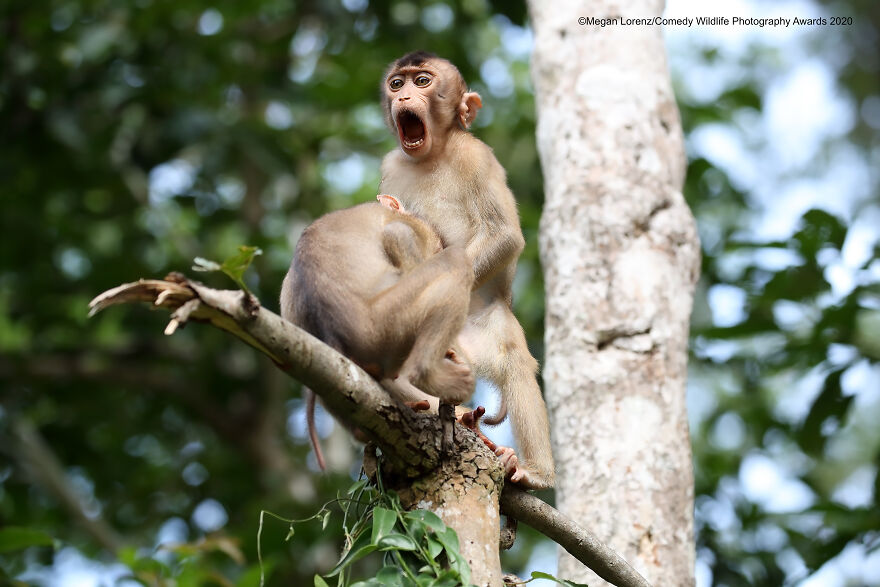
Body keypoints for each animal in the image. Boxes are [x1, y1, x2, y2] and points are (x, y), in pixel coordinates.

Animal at [280, 195, 477, 468]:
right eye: (436, 246)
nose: (434, 251)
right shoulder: (410, 232)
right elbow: (398, 235)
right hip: (386, 324)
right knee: (455, 260)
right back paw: (430, 375)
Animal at [377, 51, 555, 489]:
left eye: (422, 81)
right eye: (396, 83)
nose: (403, 95)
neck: (433, 155)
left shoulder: (477, 156)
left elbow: (504, 234)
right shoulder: (392, 165)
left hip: (488, 328)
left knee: (514, 362)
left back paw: (534, 472)